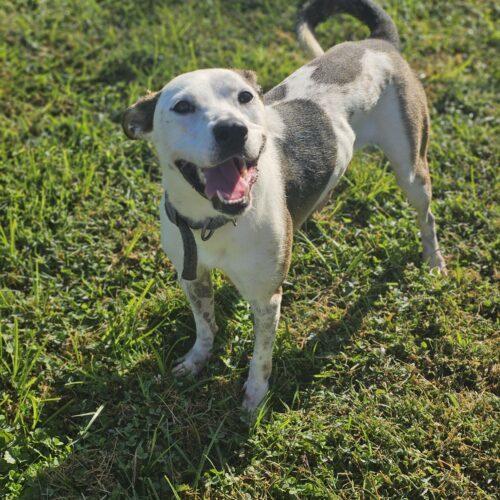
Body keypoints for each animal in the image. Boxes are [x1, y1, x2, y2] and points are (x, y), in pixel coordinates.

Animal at [123, 0, 448, 412]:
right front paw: (197, 359)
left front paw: (254, 398)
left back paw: (434, 262)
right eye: (181, 106)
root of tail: (376, 42)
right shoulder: (192, 276)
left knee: (427, 217)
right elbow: (204, 325)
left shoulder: (266, 299)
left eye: (245, 97)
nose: (233, 129)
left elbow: (260, 356)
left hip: (411, 167)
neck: (215, 222)